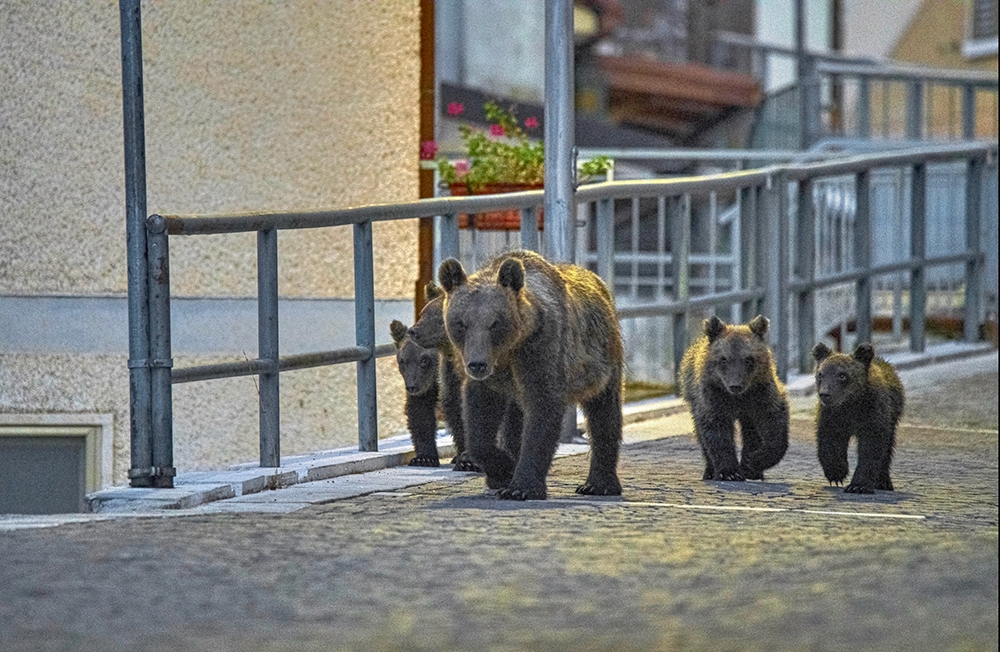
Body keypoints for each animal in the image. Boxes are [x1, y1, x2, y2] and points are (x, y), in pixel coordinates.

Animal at [440, 250, 624, 500]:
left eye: (494, 323)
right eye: (461, 323)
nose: (477, 364)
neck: (510, 348)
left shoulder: (541, 348)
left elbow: (542, 410)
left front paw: (521, 487)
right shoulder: (492, 375)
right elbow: (479, 423)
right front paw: (503, 470)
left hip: (603, 359)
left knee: (604, 411)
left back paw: (599, 484)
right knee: (514, 419)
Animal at [812, 344, 908, 492]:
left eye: (842, 375)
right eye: (820, 374)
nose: (825, 394)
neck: (850, 403)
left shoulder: (872, 413)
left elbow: (871, 447)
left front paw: (858, 485)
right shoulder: (831, 416)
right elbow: (830, 441)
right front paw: (837, 473)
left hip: (893, 415)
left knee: (887, 447)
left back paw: (884, 482)